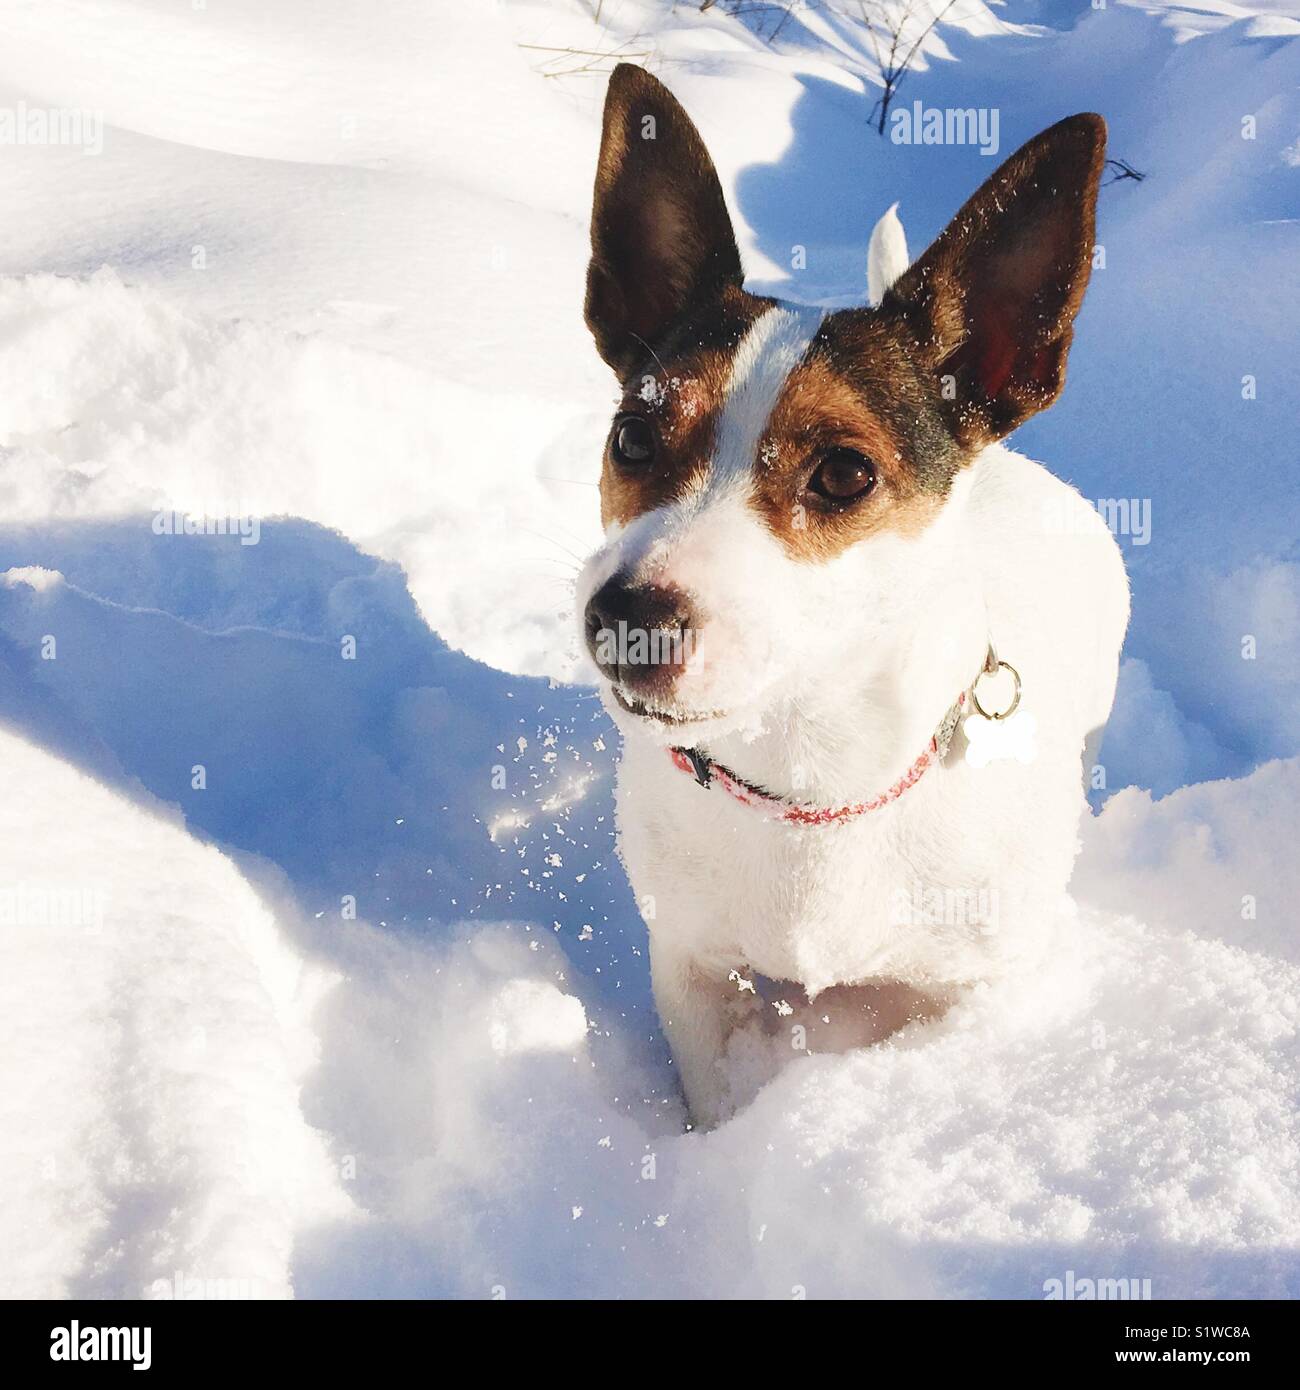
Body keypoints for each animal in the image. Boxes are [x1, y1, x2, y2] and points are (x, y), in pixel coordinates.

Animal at [575, 62, 1123, 1128]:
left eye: (843, 474)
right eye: (632, 436)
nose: (625, 620)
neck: (811, 783)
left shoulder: (967, 992)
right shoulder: (691, 965)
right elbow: (713, 1086)